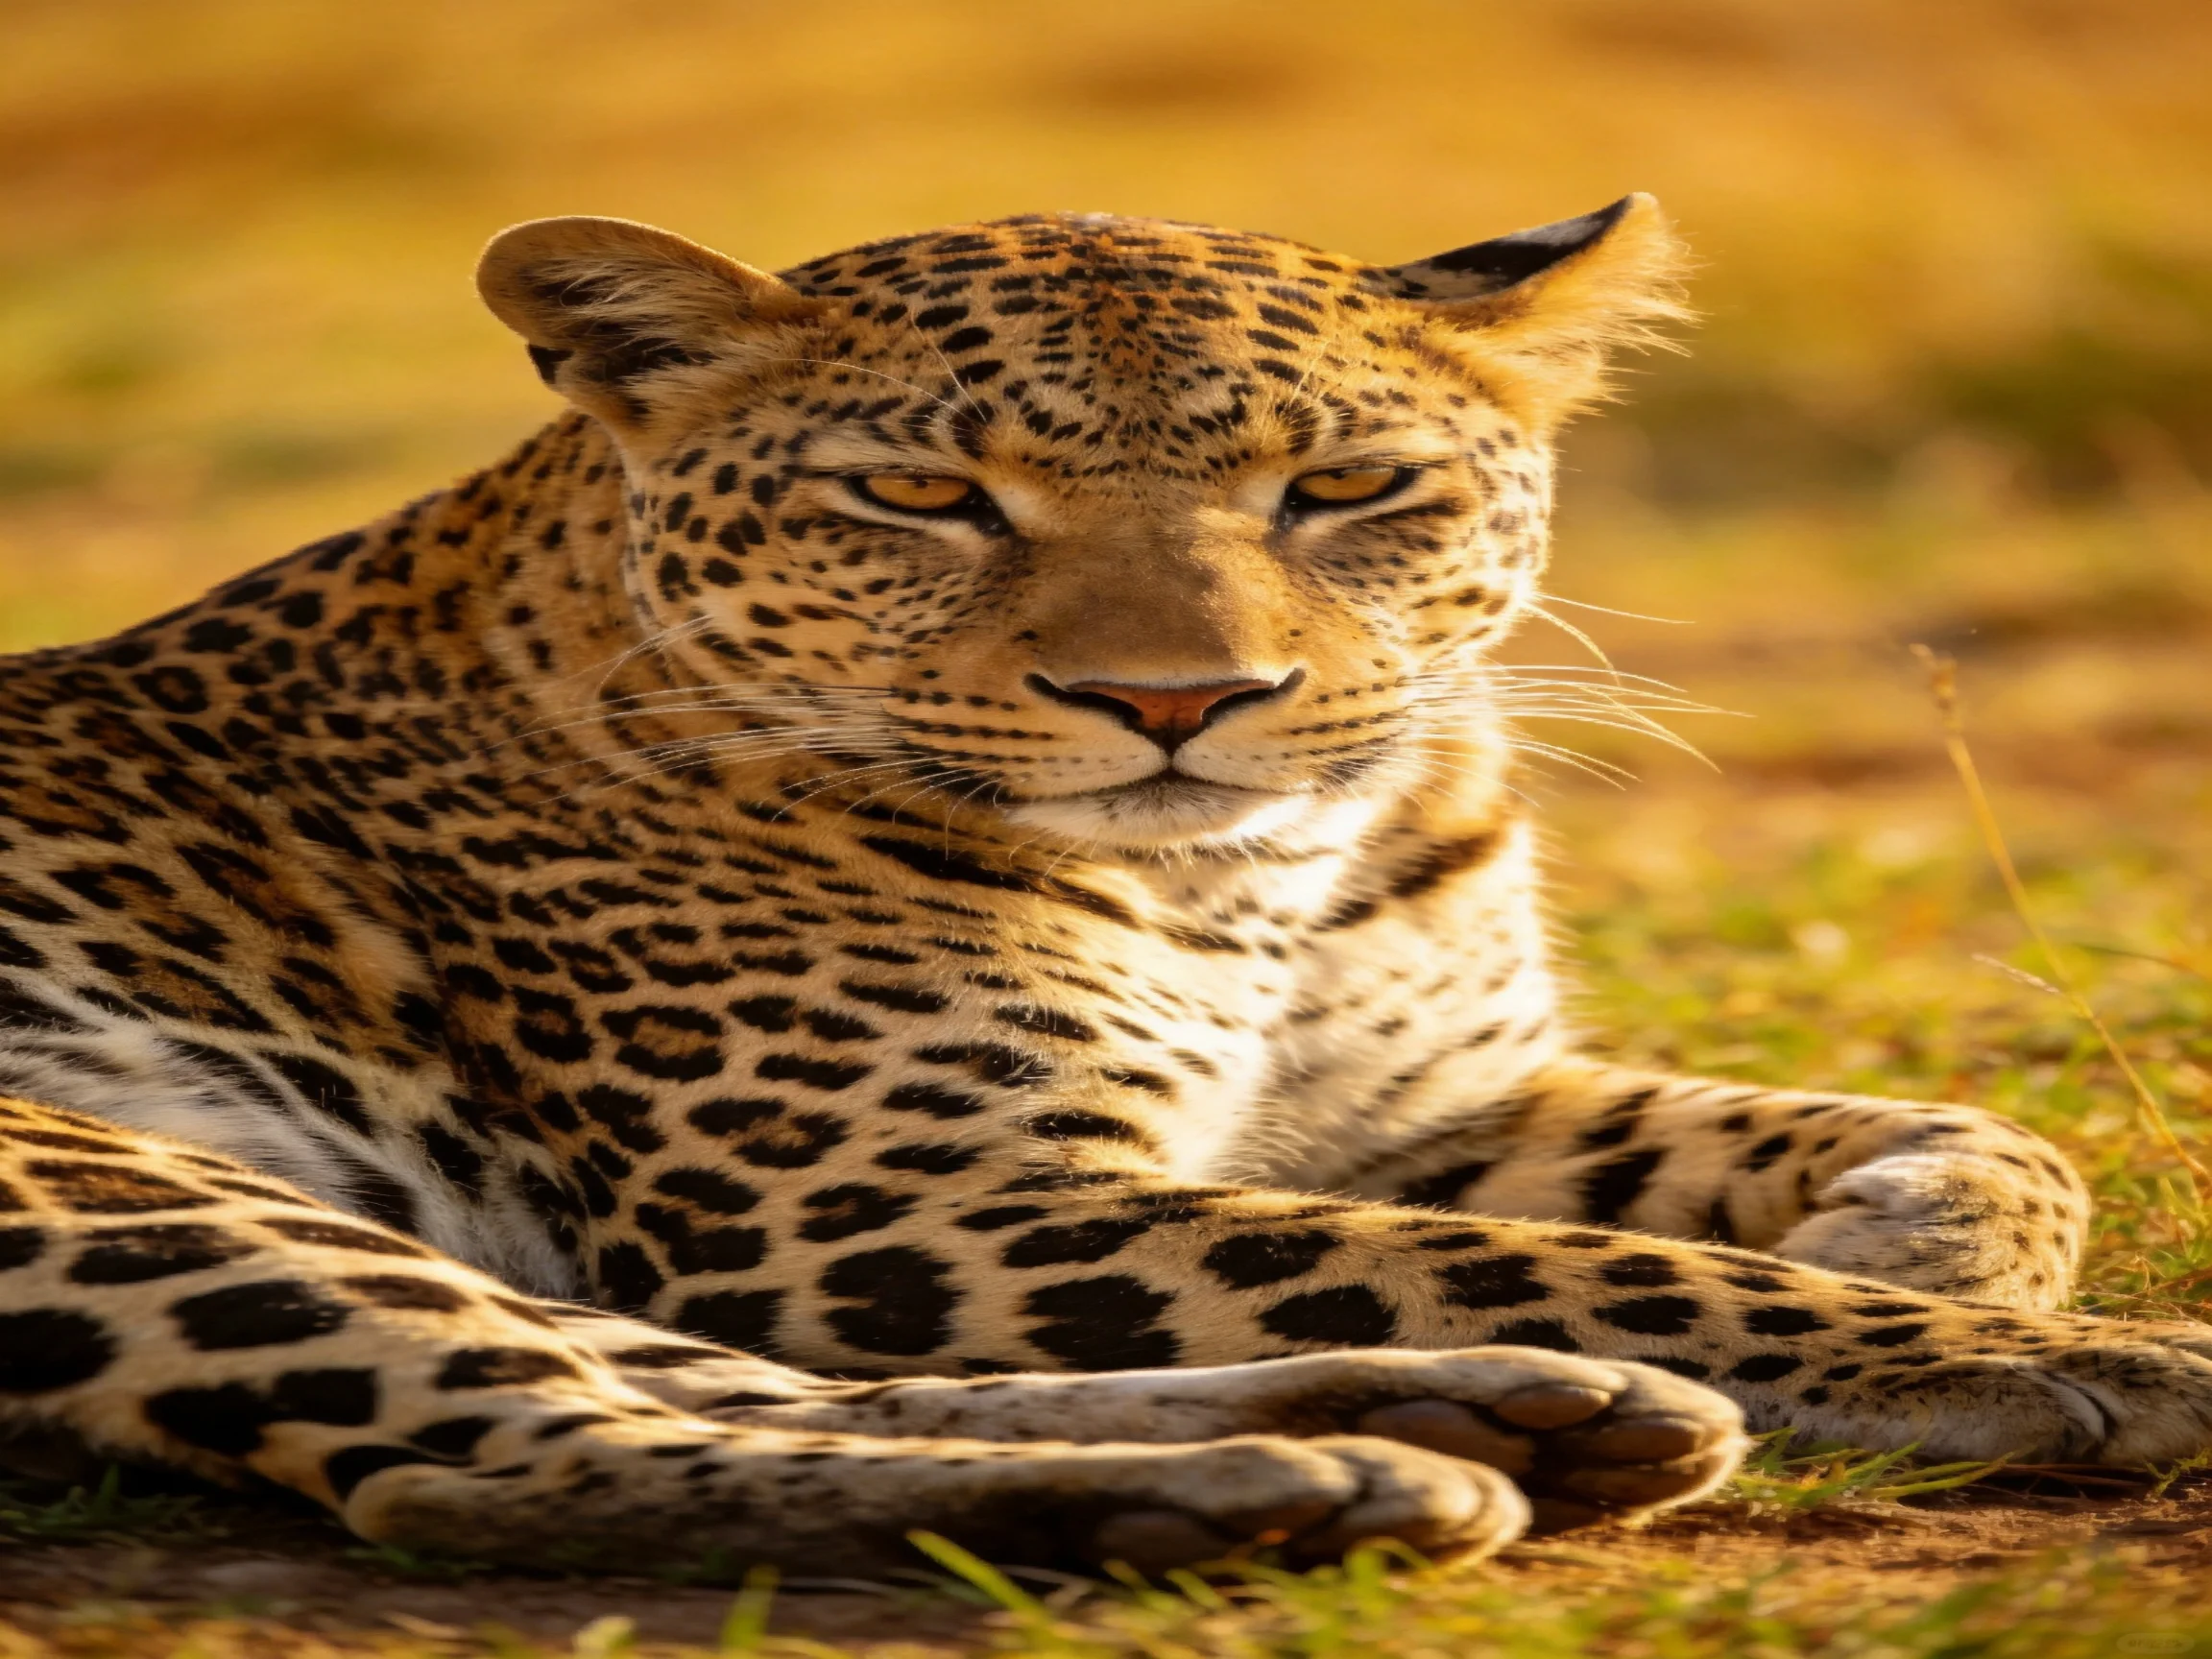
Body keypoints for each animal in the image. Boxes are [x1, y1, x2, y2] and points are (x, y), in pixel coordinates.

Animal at [3, 196, 2210, 1580]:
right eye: (918, 496)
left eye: (1345, 488)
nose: (1175, 700)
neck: (1265, 886)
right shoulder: (883, 1203)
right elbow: (1566, 1256)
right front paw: (2064, 1356)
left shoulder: (1429, 1101)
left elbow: (1956, 1141)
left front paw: (1938, 1238)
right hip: (97, 1178)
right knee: (504, 1454)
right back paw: (1300, 1488)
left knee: (698, 1388)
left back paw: (1503, 1425)